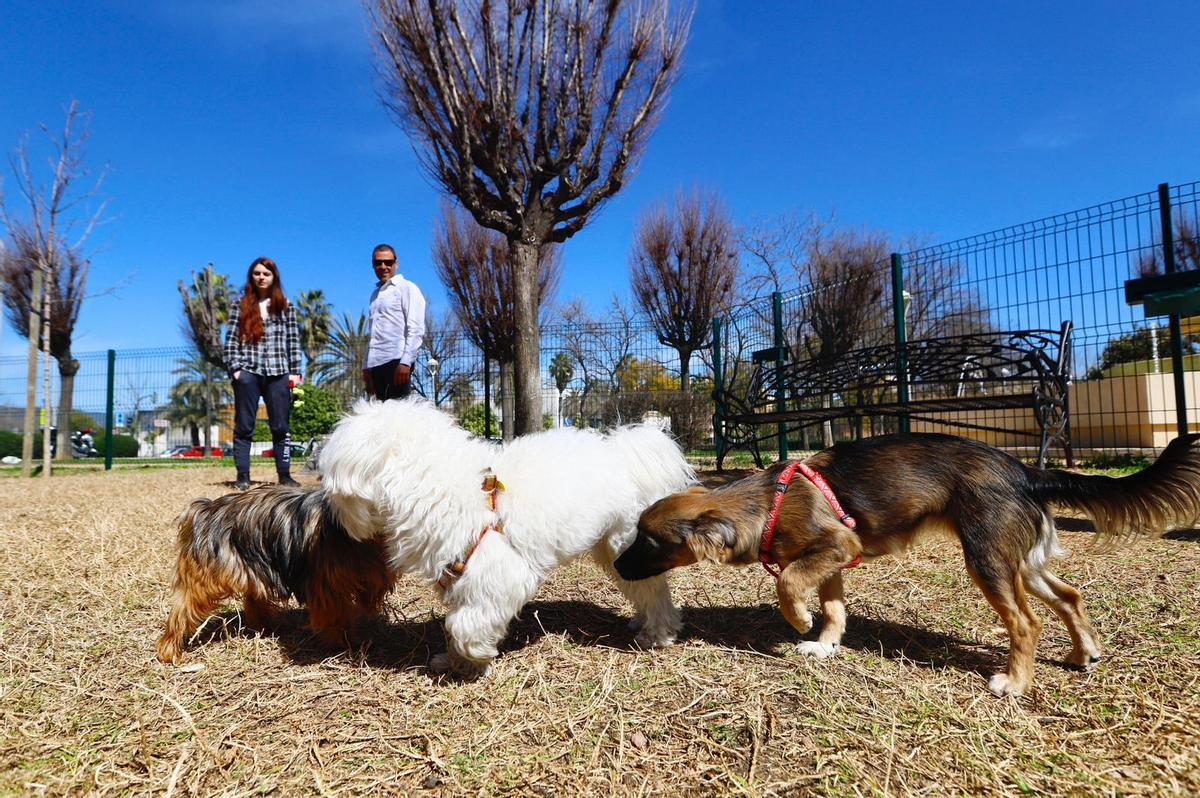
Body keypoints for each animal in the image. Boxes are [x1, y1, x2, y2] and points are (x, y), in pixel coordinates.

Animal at [157, 484, 391, 657]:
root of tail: (205, 510)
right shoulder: (325, 584)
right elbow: (336, 615)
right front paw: (344, 643)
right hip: (206, 577)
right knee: (183, 608)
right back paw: (169, 650)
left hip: (252, 568)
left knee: (253, 599)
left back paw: (267, 625)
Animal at [319, 400, 696, 676]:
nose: (329, 510)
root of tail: (625, 453)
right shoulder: (461, 579)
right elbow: (457, 622)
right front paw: (455, 663)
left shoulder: (501, 574)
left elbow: (463, 624)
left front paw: (478, 655)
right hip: (614, 553)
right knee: (643, 590)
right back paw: (642, 621)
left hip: (625, 545)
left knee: (656, 593)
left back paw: (658, 634)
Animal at [619, 432, 1200, 696]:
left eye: (647, 541)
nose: (619, 568)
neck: (765, 505)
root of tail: (1023, 470)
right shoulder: (836, 562)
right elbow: (834, 610)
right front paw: (823, 645)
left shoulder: (835, 548)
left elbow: (787, 582)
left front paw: (798, 621)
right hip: (1023, 563)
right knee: (1070, 596)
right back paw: (1085, 653)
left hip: (987, 560)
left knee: (1026, 622)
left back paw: (1014, 683)